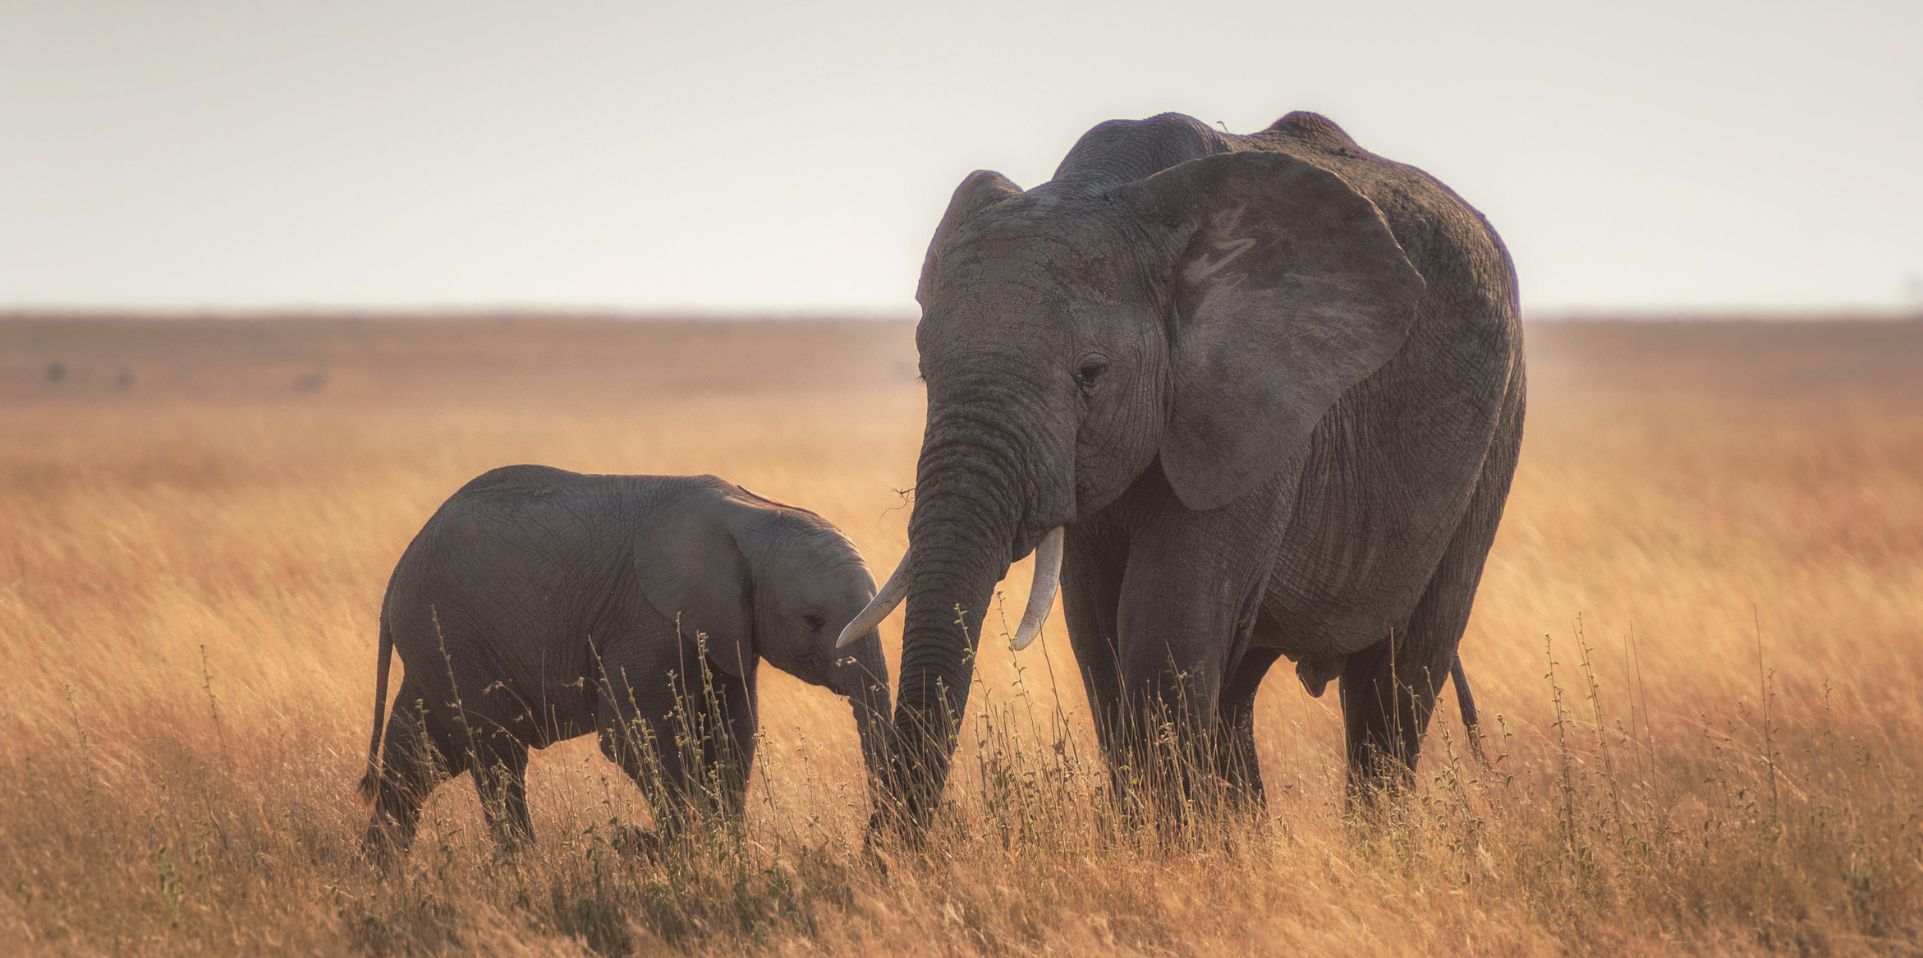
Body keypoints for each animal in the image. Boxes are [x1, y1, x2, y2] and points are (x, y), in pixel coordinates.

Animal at [357, 465, 888, 854]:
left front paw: (725, 851)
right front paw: (685, 852)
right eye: (813, 619)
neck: (754, 513)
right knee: (496, 754)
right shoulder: (644, 618)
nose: (872, 849)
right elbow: (633, 736)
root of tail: (396, 574)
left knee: (417, 759)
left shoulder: (726, 630)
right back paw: (524, 869)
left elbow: (732, 733)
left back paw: (383, 876)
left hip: (436, 645)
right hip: (450, 635)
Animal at [838, 112, 1515, 827]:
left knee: (1397, 678)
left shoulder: (1256, 406)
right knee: (1239, 688)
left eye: (1091, 374)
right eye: (923, 371)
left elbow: (1165, 628)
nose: (892, 848)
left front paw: (1167, 844)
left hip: (1496, 430)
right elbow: (1098, 634)